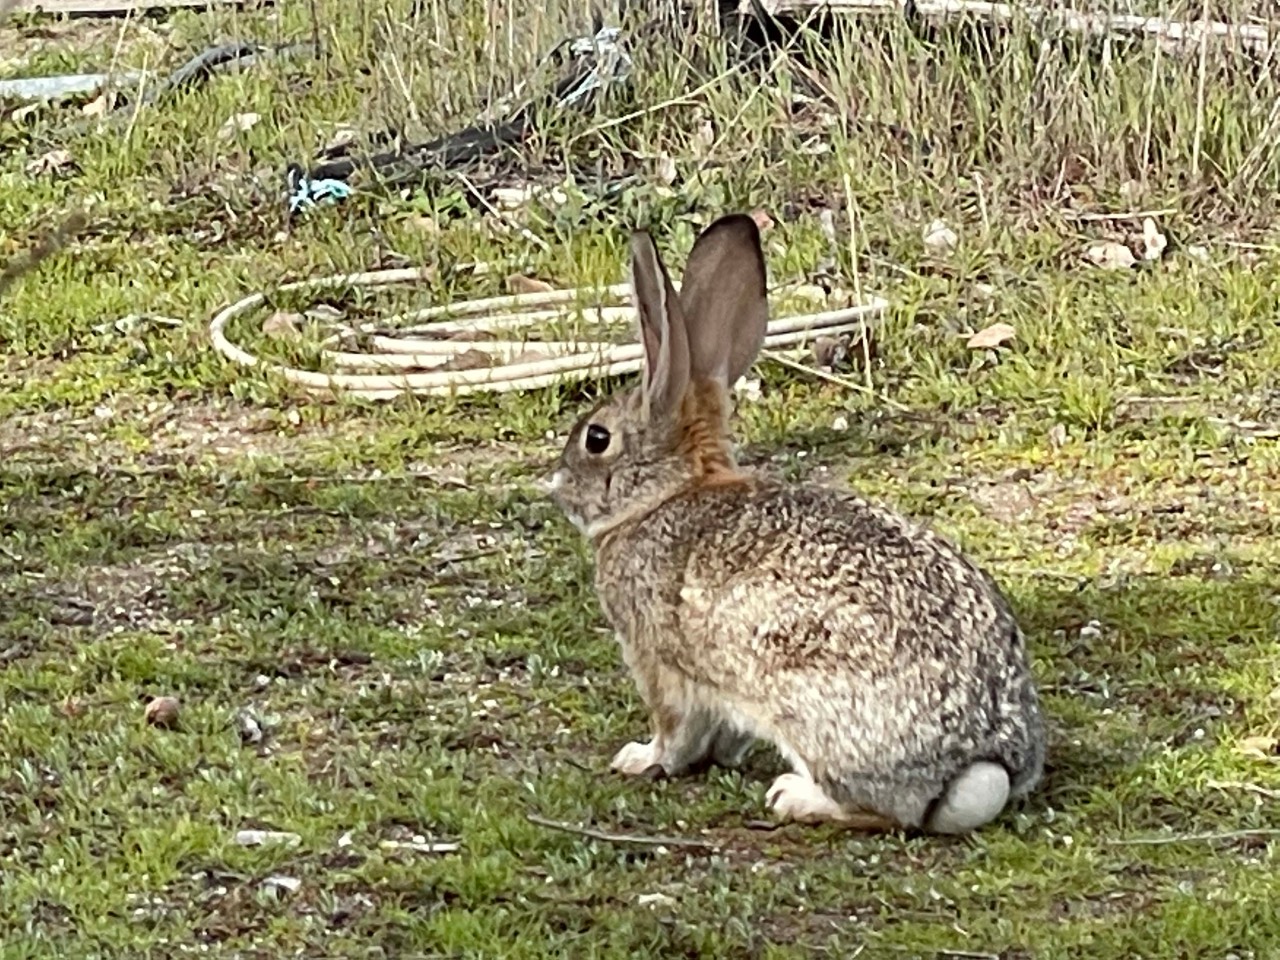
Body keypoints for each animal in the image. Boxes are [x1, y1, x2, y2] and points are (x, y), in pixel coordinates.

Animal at [545, 213, 1045, 833]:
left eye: (597, 438)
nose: (558, 486)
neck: (667, 492)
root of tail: (980, 763)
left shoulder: (658, 662)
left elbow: (675, 731)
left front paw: (641, 759)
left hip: (803, 700)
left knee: (882, 811)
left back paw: (795, 796)